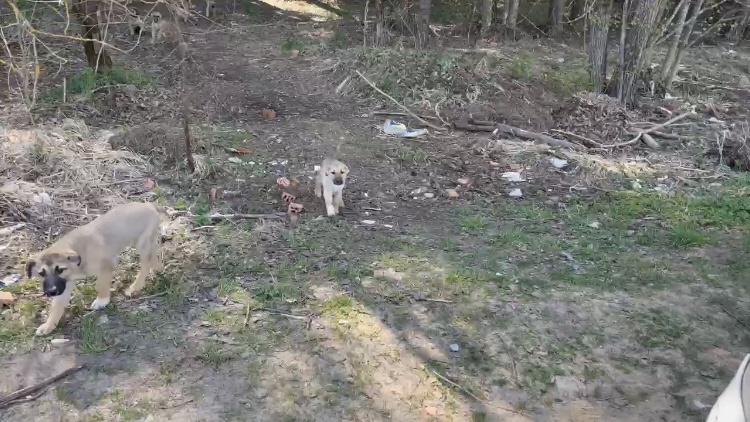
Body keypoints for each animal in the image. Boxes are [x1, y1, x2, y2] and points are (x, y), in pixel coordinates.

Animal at [25, 202, 163, 336]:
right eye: (41, 273)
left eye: (60, 270)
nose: (51, 292)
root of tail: (151, 205)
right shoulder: (64, 285)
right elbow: (57, 306)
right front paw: (49, 325)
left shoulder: (106, 266)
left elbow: (101, 285)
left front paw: (102, 301)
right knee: (153, 258)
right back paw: (155, 270)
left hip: (142, 243)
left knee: (146, 263)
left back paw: (135, 286)